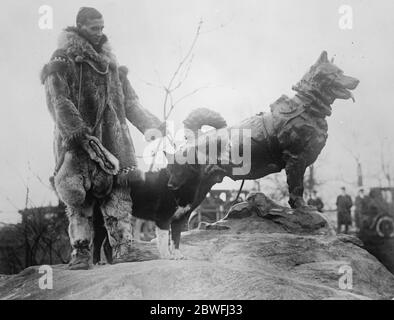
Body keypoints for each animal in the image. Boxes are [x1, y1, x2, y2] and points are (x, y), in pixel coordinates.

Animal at [166, 51, 360, 209]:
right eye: (338, 73)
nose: (357, 80)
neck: (307, 107)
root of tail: (194, 138)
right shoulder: (295, 158)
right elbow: (296, 186)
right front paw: (302, 206)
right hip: (192, 187)